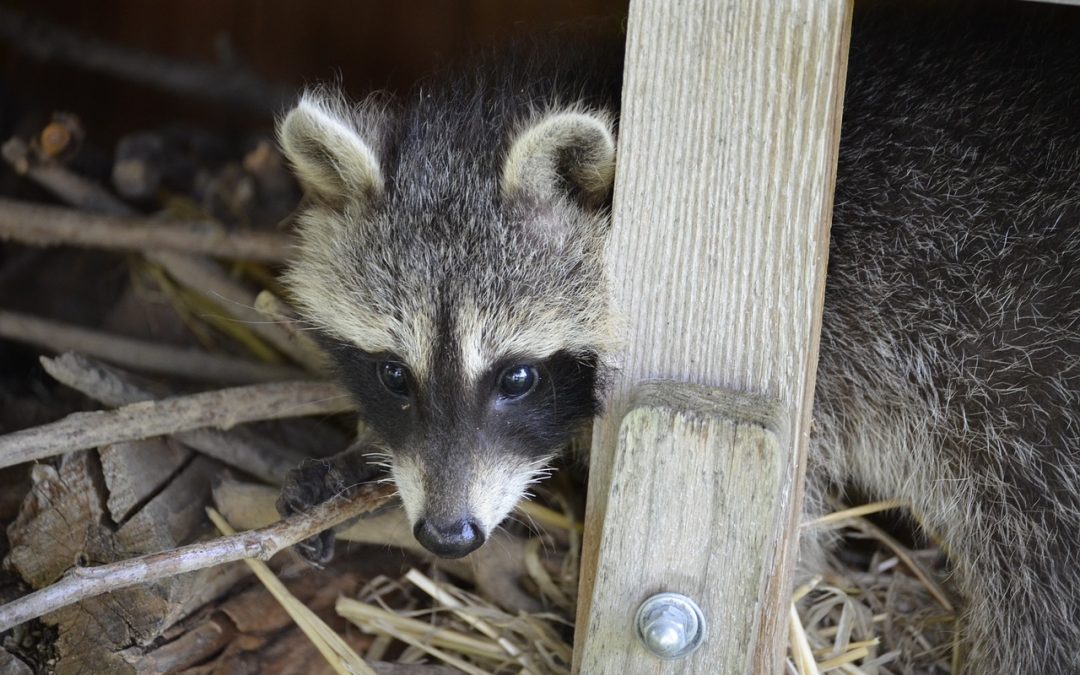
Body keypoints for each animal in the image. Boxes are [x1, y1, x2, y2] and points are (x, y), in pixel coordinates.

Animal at [276, 3, 1080, 669]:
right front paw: (356, 457)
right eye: (392, 373)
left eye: (516, 377)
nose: (449, 536)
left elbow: (797, 532)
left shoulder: (834, 363)